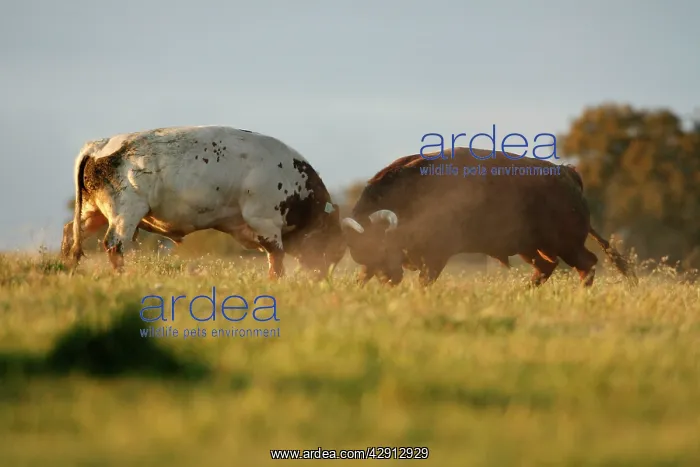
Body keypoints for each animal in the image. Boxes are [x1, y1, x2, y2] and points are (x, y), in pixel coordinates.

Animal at [60, 126, 347, 280]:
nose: (322, 277)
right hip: (125, 213)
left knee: (71, 234)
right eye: (333, 245)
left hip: (93, 212)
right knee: (114, 245)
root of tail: (100, 145)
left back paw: (67, 269)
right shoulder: (264, 221)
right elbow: (276, 258)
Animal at [340, 147, 637, 288]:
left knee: (587, 265)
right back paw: (520, 293)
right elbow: (362, 277)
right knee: (547, 267)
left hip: (566, 245)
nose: (391, 279)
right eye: (363, 250)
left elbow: (426, 280)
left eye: (381, 246)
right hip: (533, 248)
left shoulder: (437, 255)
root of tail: (568, 174)